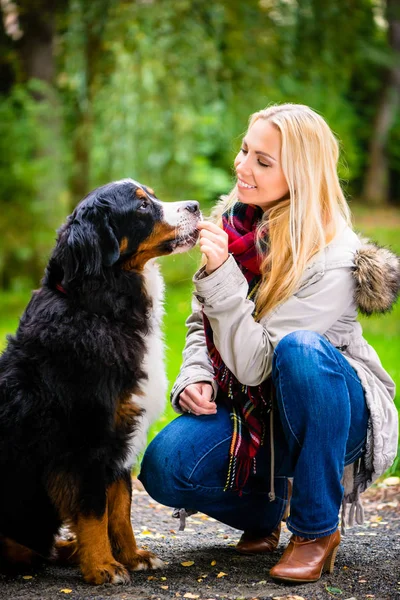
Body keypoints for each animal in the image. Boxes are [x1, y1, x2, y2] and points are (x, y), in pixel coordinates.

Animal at [0, 180, 200, 584]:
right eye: (142, 206)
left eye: (152, 195)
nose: (196, 206)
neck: (100, 309)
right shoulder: (89, 438)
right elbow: (94, 510)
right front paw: (102, 566)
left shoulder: (122, 431)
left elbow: (120, 507)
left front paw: (132, 556)